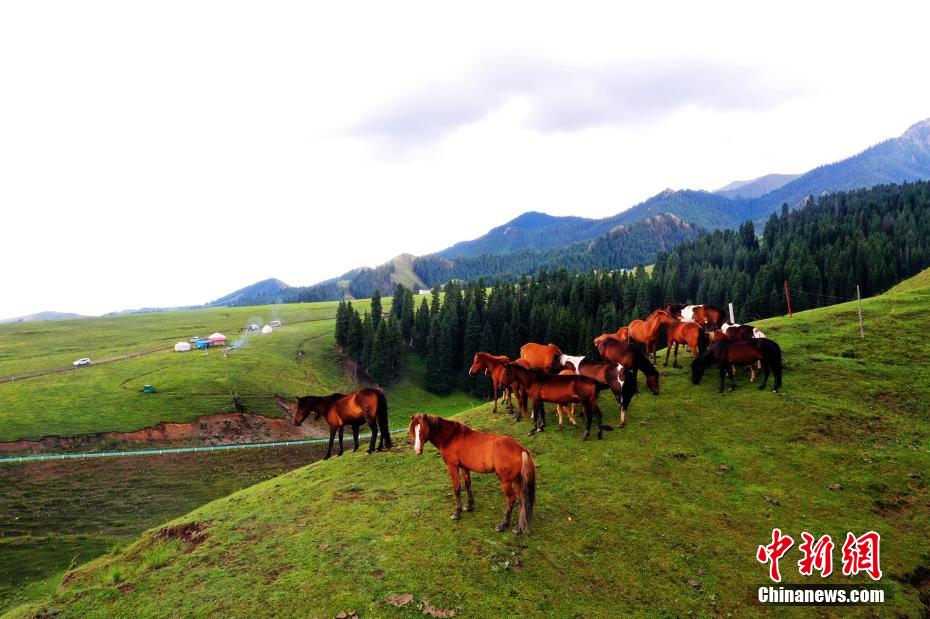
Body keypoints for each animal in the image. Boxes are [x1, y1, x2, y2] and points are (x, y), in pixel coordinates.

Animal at [408, 414, 536, 536]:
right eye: (413, 430)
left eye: (423, 429)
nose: (417, 450)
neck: (451, 437)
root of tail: (521, 449)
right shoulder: (465, 467)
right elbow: (467, 484)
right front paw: (469, 505)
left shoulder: (452, 467)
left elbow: (457, 489)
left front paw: (457, 513)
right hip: (517, 480)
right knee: (522, 498)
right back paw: (519, 528)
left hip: (505, 481)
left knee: (511, 499)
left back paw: (503, 525)